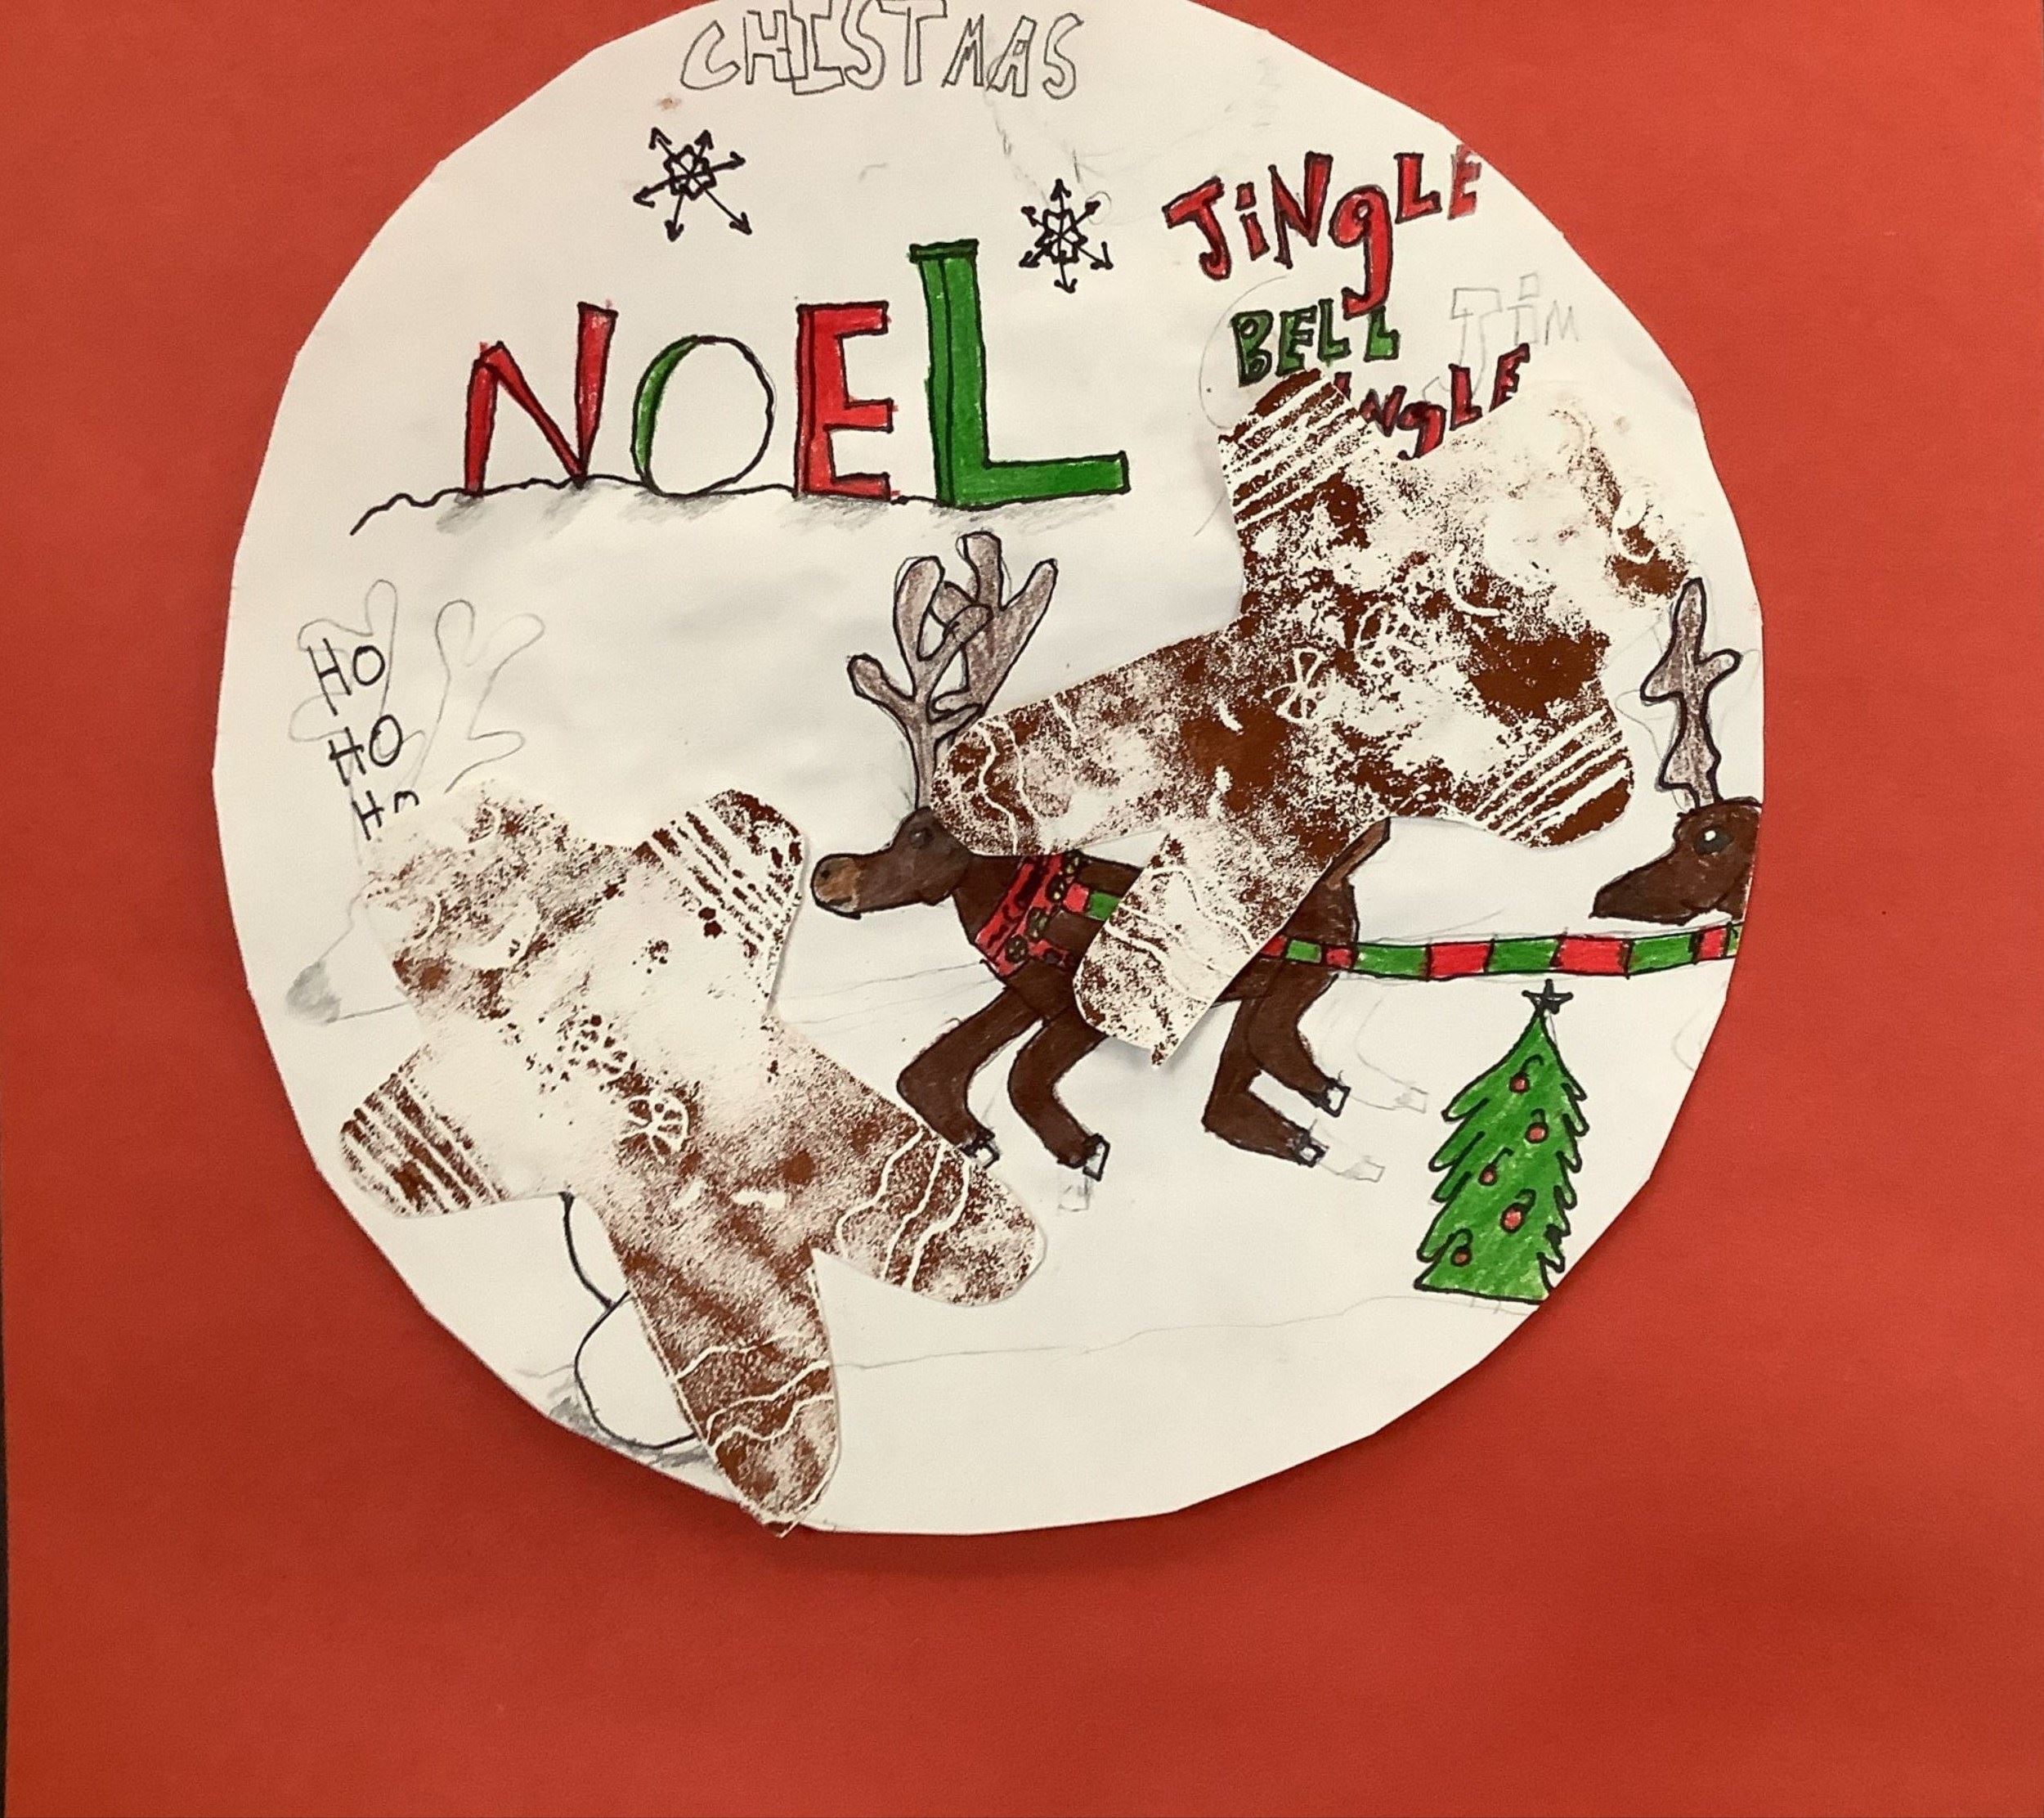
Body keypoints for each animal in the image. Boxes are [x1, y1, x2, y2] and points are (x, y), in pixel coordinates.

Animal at [811, 531, 1381, 1180]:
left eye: (921, 835)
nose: (827, 873)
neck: (1023, 903)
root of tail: (1338, 873)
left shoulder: (1074, 1009)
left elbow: (1020, 1073)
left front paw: (1082, 1148)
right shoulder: (1027, 993)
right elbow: (927, 1070)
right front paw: (979, 1139)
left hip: (1303, 966)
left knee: (1267, 1045)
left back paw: (1327, 1102)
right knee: (1229, 1095)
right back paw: (1316, 1134)